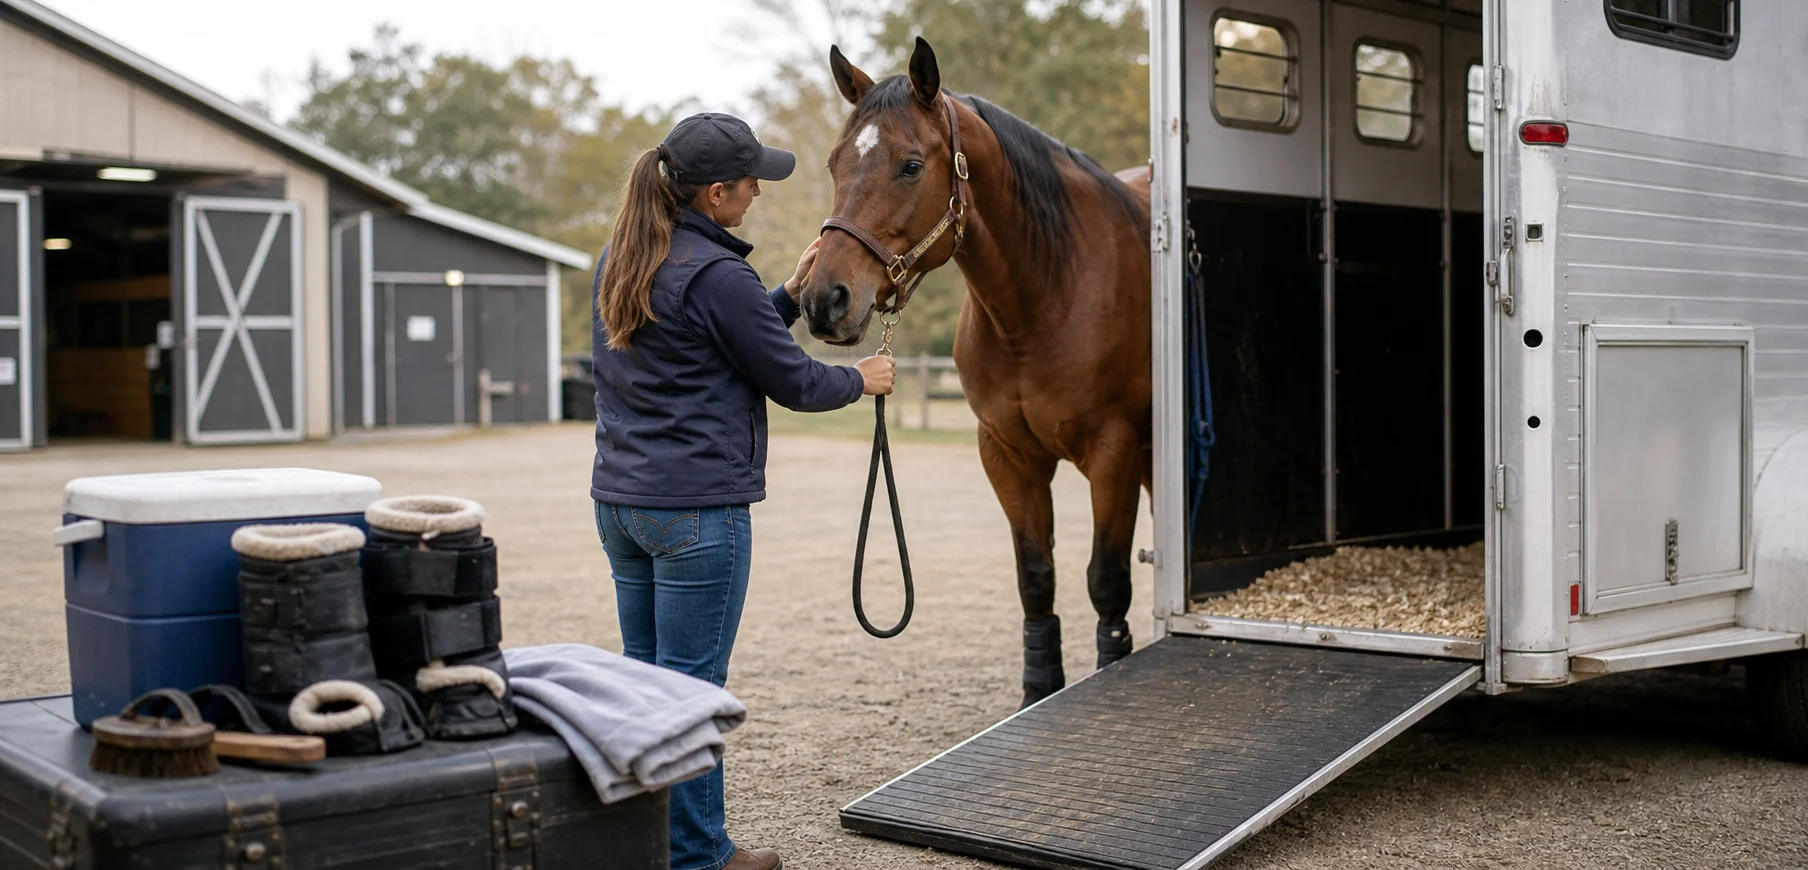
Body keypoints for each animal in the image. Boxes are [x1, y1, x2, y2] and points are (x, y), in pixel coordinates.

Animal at [799, 37, 1152, 707]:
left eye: (911, 166)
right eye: (834, 164)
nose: (823, 300)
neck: (1050, 291)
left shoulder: (1113, 451)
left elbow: (1107, 582)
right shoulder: (1006, 454)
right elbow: (1036, 579)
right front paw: (1038, 692)